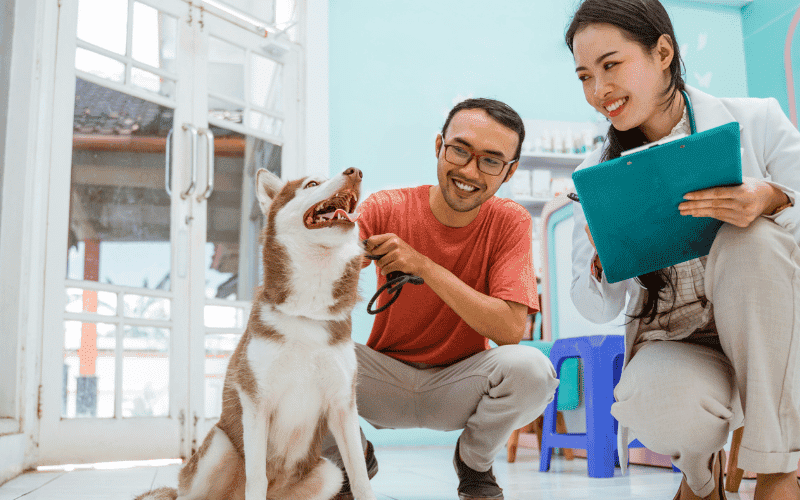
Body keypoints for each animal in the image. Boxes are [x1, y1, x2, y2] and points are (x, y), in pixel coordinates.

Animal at [136, 168, 376, 500]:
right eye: (312, 184)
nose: (355, 172)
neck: (308, 311)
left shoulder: (343, 405)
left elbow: (360, 478)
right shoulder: (256, 402)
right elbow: (257, 477)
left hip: (328, 473)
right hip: (219, 445)